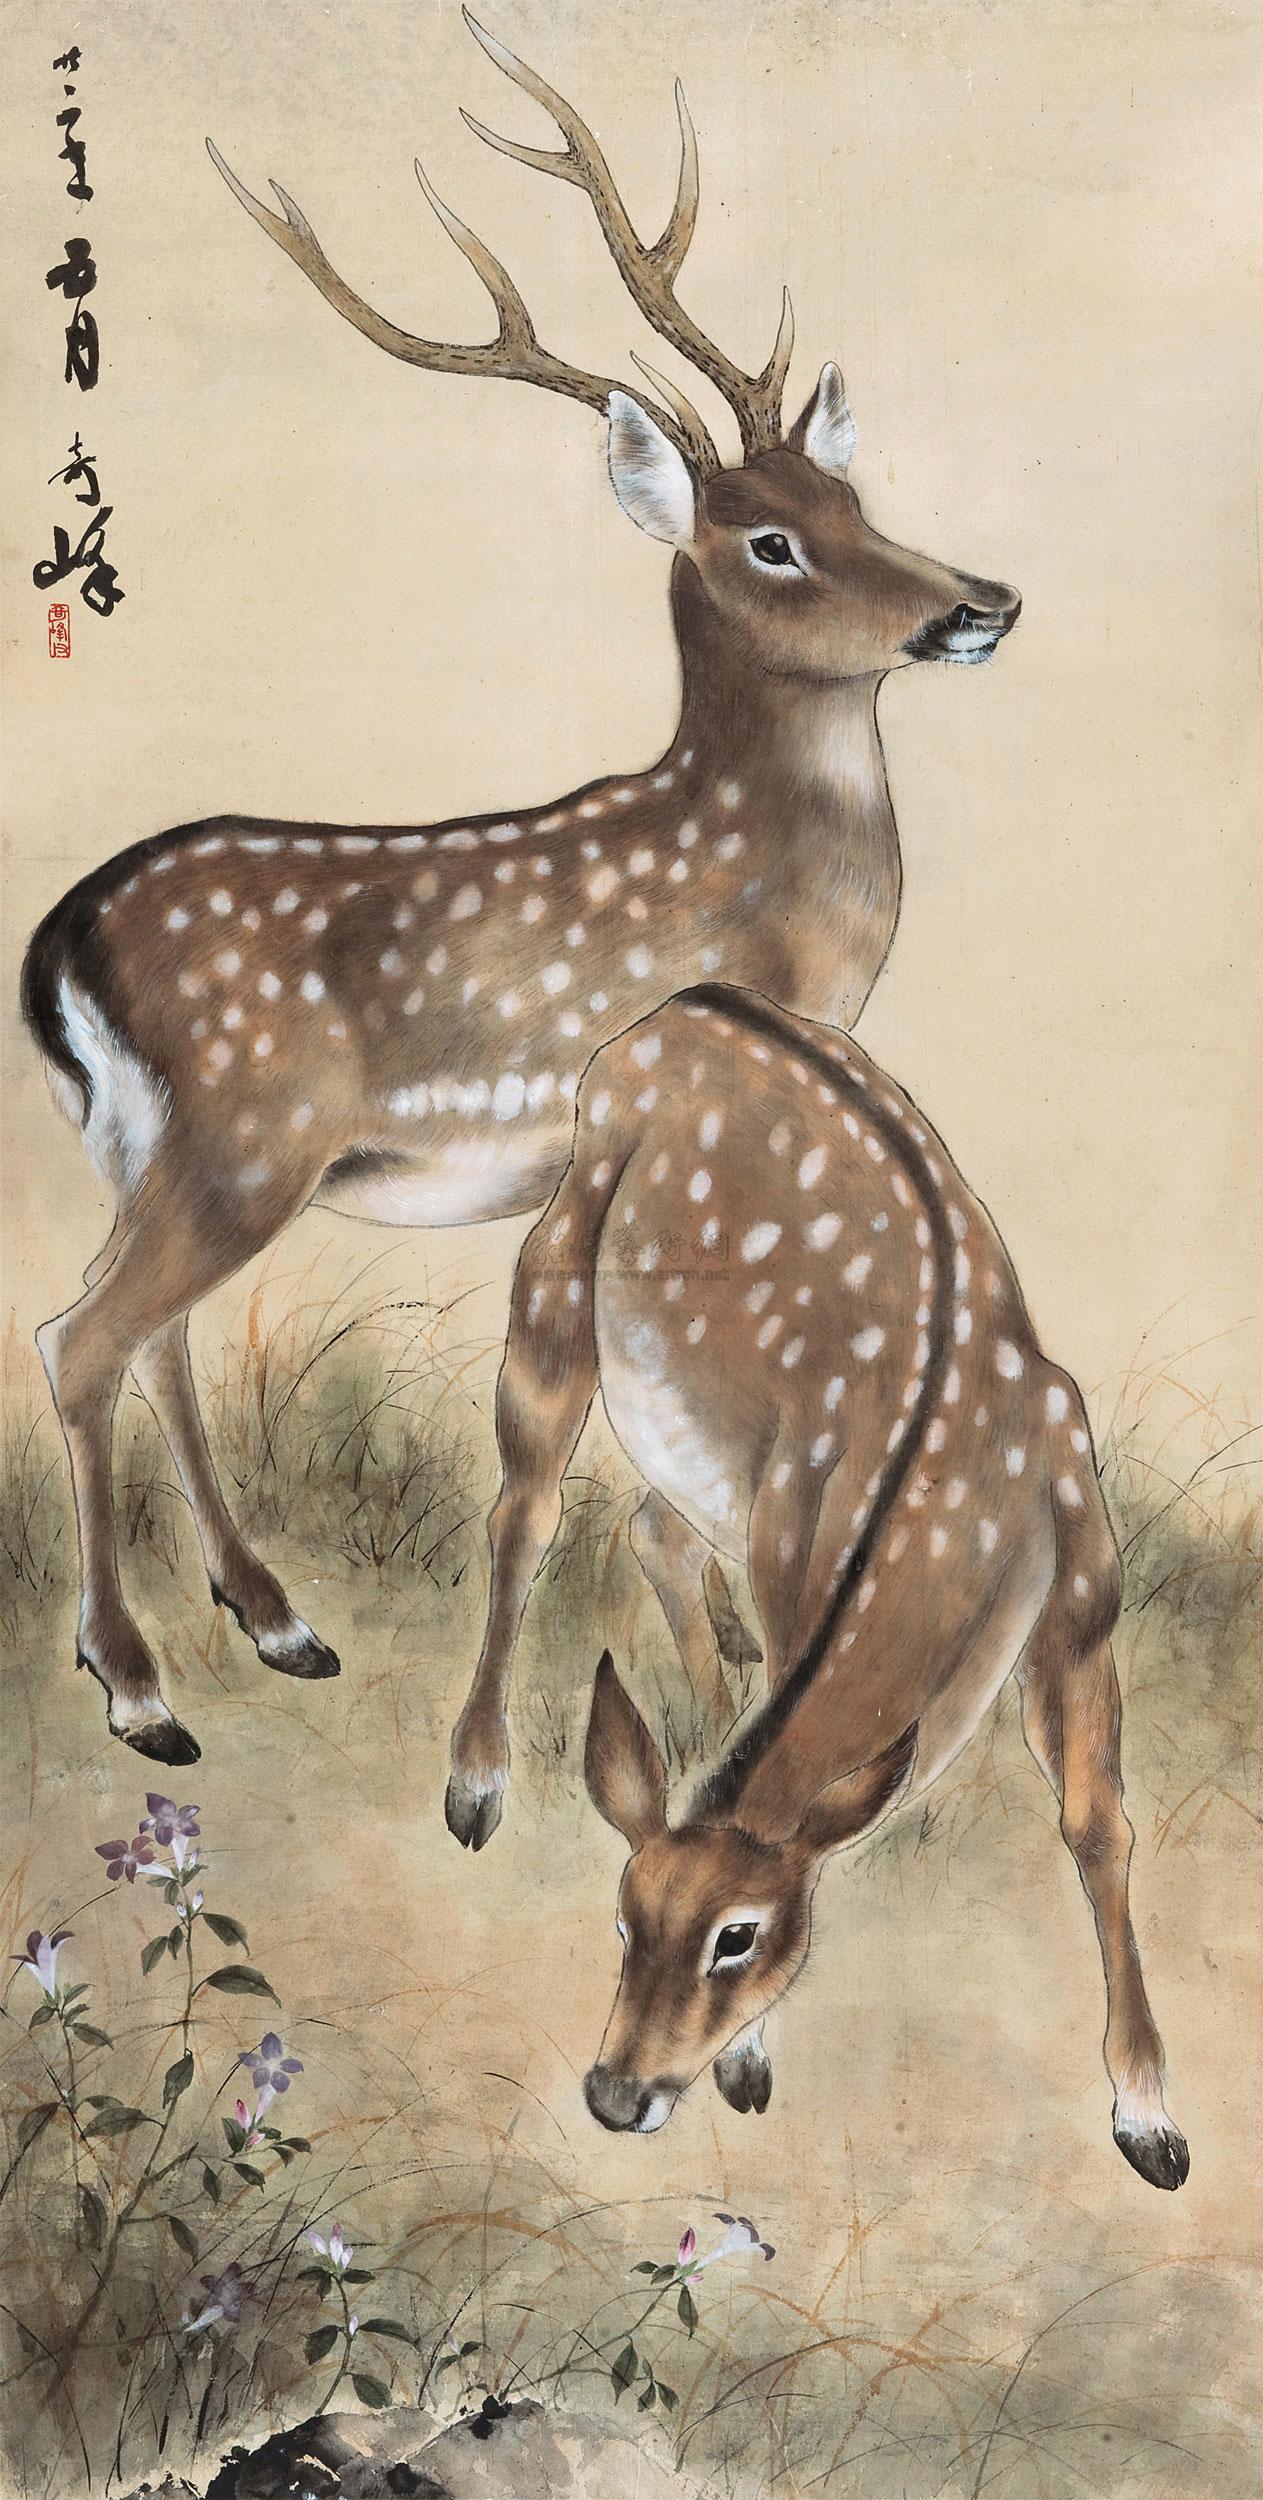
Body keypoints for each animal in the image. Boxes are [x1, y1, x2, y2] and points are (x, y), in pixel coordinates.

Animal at [21, 12, 1019, 1773]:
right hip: (236, 1143)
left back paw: (273, 1620)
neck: (758, 891)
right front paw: (732, 1655)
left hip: (160, 1150)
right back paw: (139, 1688)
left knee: (149, 1337)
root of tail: (56, 946)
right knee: (77, 1340)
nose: (978, 602)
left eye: (853, 500)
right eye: (768, 540)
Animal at [450, 982, 1189, 2191]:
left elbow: (1098, 1828)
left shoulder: (1085, 1593)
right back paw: (474, 1786)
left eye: (737, 1936)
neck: (961, 1509)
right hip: (561, 1254)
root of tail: (679, 1006)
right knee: (527, 1509)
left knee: (647, 1528)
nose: (615, 2093)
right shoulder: (792, 1542)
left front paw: (1150, 2121)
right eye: (622, 1923)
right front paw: (751, 2066)